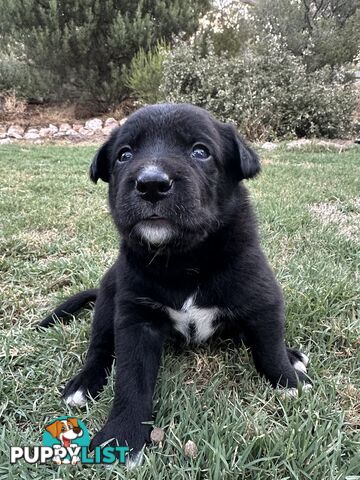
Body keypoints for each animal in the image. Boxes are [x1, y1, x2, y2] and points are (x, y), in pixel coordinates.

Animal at [38, 104, 310, 464]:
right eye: (124, 155)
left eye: (201, 151)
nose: (151, 184)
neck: (183, 260)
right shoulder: (136, 318)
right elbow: (131, 379)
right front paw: (122, 436)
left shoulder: (262, 296)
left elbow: (269, 347)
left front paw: (289, 381)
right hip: (109, 298)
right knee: (99, 347)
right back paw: (84, 383)